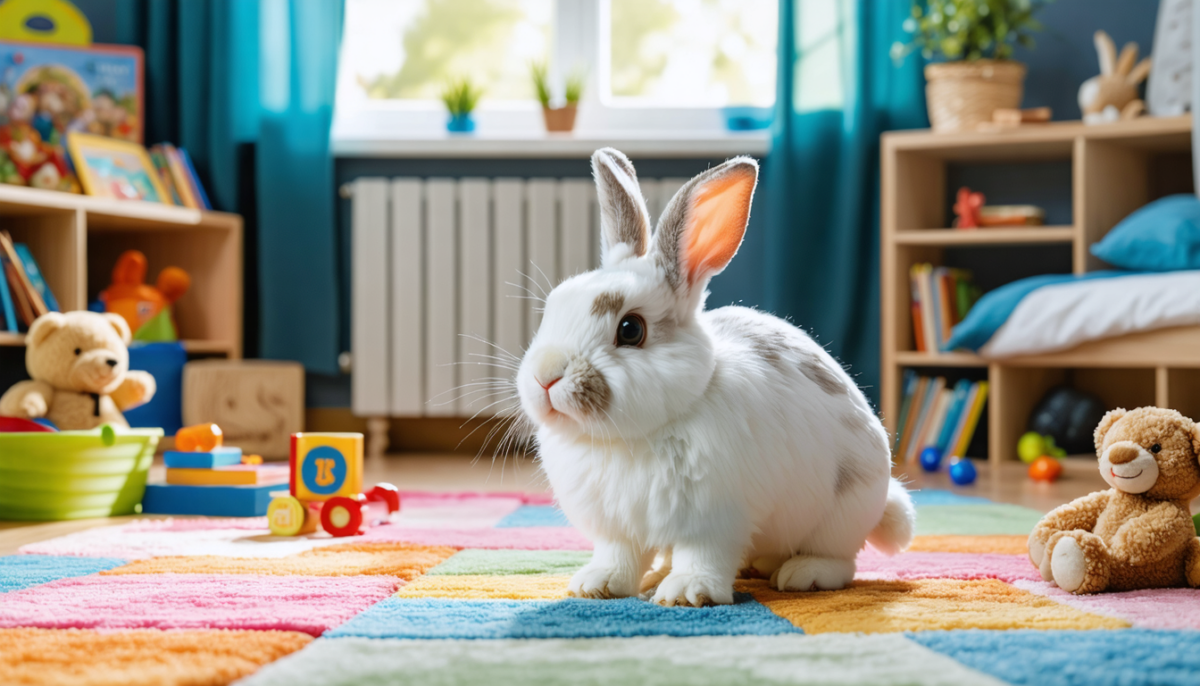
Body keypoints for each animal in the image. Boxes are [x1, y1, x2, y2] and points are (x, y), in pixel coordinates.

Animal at [515, 148, 915, 607]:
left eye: (631, 329)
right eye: (554, 306)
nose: (545, 377)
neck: (628, 438)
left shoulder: (715, 520)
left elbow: (703, 556)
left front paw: (688, 593)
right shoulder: (618, 528)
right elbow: (618, 556)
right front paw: (596, 585)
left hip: (841, 513)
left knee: (840, 561)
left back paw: (801, 574)